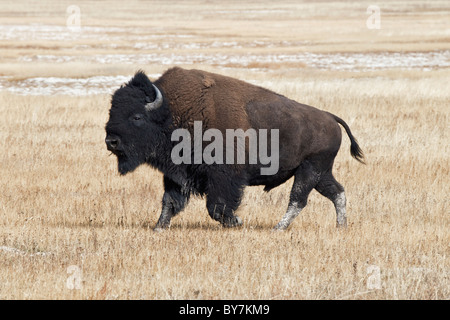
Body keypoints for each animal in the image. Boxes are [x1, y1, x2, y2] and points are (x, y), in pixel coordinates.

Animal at [103, 67, 364, 231]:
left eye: (137, 116)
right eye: (112, 112)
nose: (111, 141)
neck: (171, 112)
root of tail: (330, 117)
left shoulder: (224, 177)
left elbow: (216, 207)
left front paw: (237, 222)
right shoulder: (176, 175)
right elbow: (169, 201)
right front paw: (158, 228)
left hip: (309, 170)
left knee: (298, 200)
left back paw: (277, 228)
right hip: (320, 173)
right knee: (337, 192)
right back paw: (341, 227)